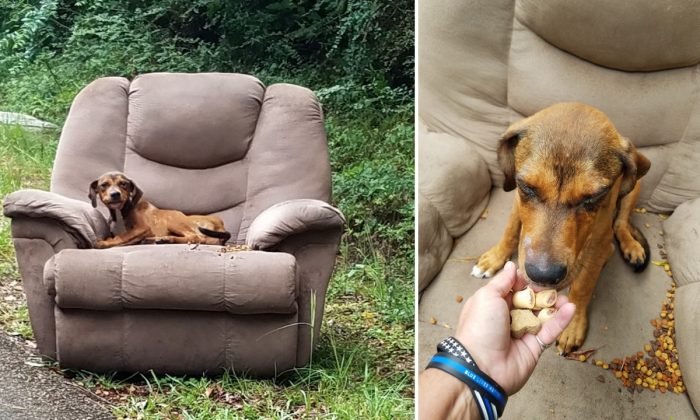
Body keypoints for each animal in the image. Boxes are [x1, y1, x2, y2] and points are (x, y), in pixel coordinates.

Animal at [89, 171, 231, 248]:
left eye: (123, 184)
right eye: (104, 185)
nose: (115, 194)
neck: (121, 212)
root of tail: (221, 226)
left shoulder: (142, 228)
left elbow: (123, 236)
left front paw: (105, 243)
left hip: (172, 220)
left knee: (195, 237)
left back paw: (166, 239)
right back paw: (159, 239)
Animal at [470, 102, 652, 354]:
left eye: (593, 196)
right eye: (527, 186)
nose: (543, 275)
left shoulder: (597, 243)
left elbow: (583, 285)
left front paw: (573, 326)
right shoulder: (517, 200)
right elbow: (511, 229)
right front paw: (494, 258)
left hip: (634, 189)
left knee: (621, 223)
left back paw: (630, 246)